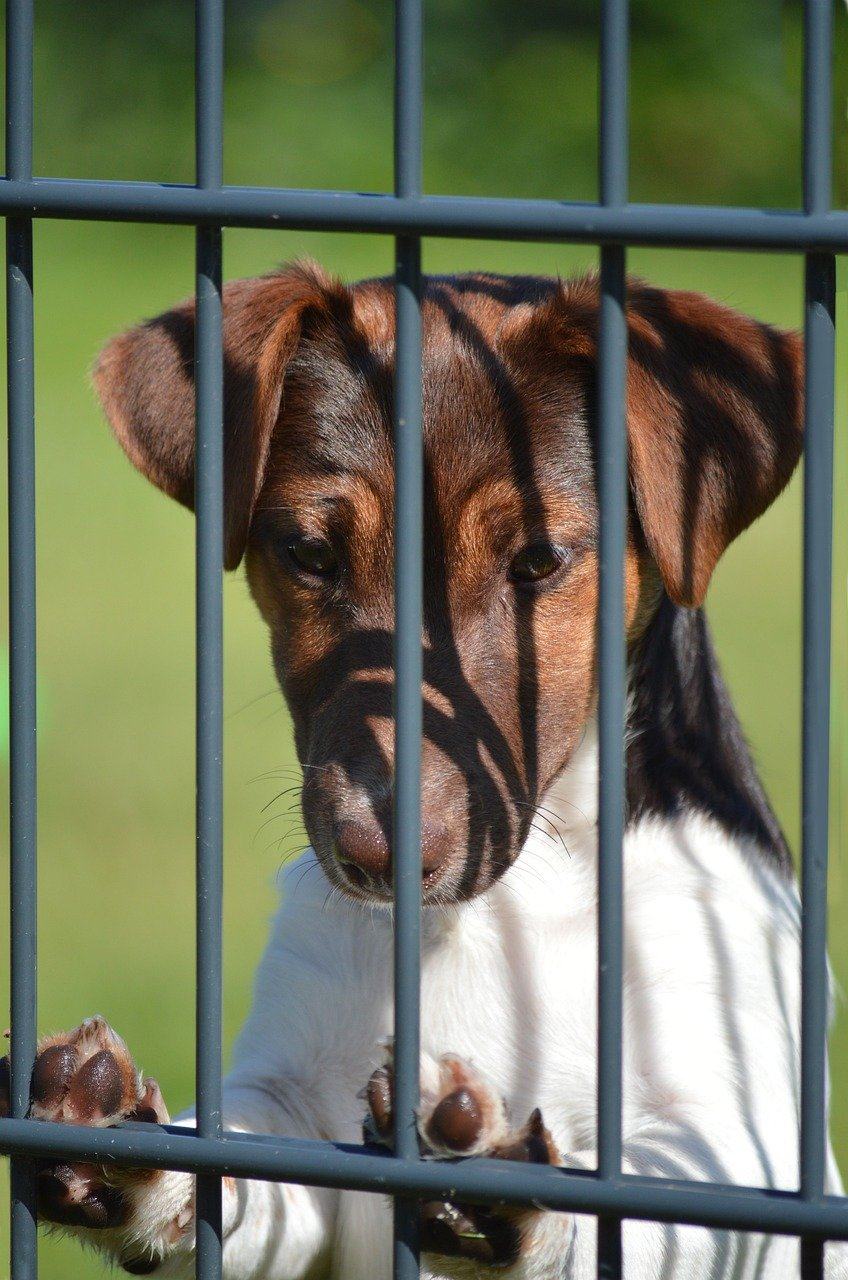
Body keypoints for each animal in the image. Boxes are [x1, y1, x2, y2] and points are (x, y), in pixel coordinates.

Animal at [4, 264, 845, 1274]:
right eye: (309, 553)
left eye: (539, 560)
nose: (381, 858)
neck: (494, 911)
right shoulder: (300, 1112)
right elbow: (236, 1163)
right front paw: (130, 1156)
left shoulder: (728, 1132)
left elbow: (635, 1210)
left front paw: (506, 1197)